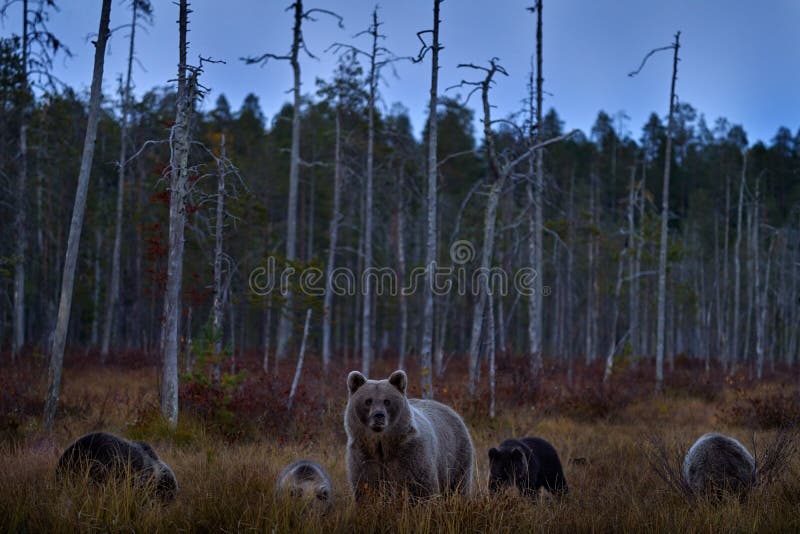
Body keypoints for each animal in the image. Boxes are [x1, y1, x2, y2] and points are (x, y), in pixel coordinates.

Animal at [344, 370, 476, 500]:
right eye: (368, 401)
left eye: (387, 401)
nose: (379, 415)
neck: (382, 444)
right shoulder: (363, 456)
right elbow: (367, 488)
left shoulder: (411, 455)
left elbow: (422, 488)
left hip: (456, 454)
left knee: (458, 485)